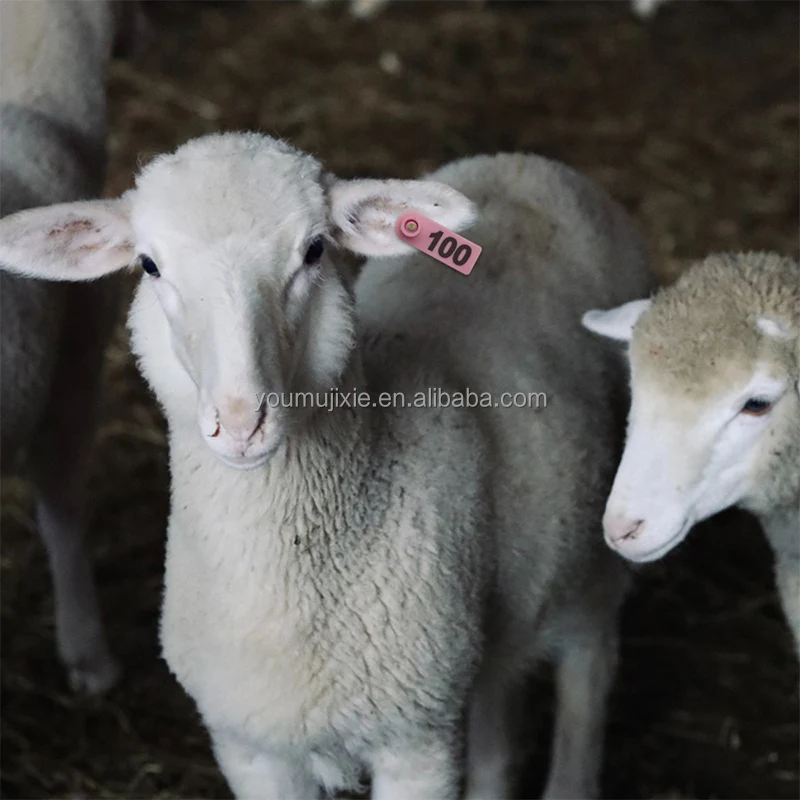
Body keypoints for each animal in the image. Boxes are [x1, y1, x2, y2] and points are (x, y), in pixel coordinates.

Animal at [0, 132, 654, 798]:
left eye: (314, 250)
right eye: (150, 265)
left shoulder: (417, 742)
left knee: (589, 670)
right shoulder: (250, 747)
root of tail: (527, 162)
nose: (242, 421)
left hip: (603, 548)